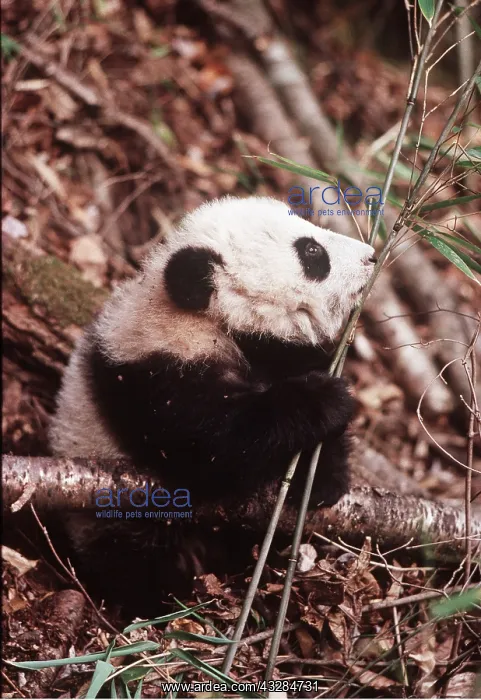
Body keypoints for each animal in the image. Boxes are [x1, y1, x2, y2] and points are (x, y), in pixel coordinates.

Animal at [49, 196, 375, 611]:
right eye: (311, 251)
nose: (371, 255)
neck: (211, 322)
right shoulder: (152, 374)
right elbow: (214, 448)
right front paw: (322, 398)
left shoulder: (275, 352)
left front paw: (322, 479)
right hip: (106, 512)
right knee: (134, 557)